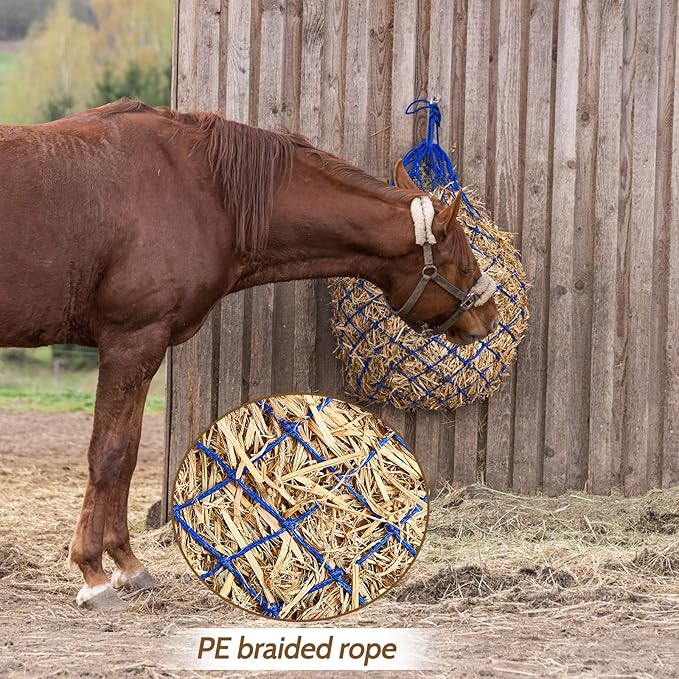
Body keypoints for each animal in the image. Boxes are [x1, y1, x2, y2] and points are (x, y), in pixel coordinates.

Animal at [0, 99, 498, 610]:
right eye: (461, 264)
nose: (490, 317)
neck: (200, 191)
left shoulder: (141, 349)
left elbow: (129, 453)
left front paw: (128, 565)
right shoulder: (131, 341)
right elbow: (109, 455)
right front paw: (93, 575)